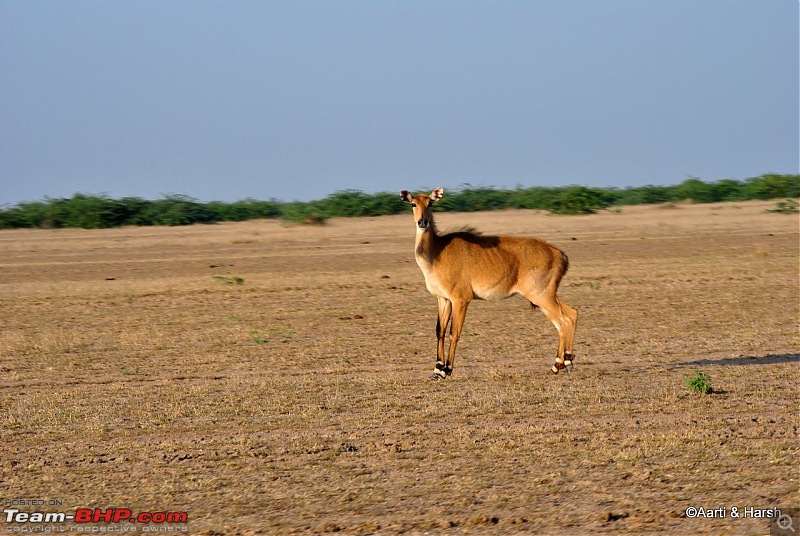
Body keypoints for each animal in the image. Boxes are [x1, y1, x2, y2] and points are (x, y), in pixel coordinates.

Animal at [404, 186, 580, 378]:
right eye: (413, 204)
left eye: (430, 203)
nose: (423, 222)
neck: (437, 252)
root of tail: (559, 254)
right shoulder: (443, 299)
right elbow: (440, 331)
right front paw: (437, 369)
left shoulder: (461, 300)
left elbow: (454, 332)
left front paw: (448, 369)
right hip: (545, 296)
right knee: (568, 317)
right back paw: (560, 363)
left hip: (541, 296)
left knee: (565, 318)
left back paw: (564, 362)